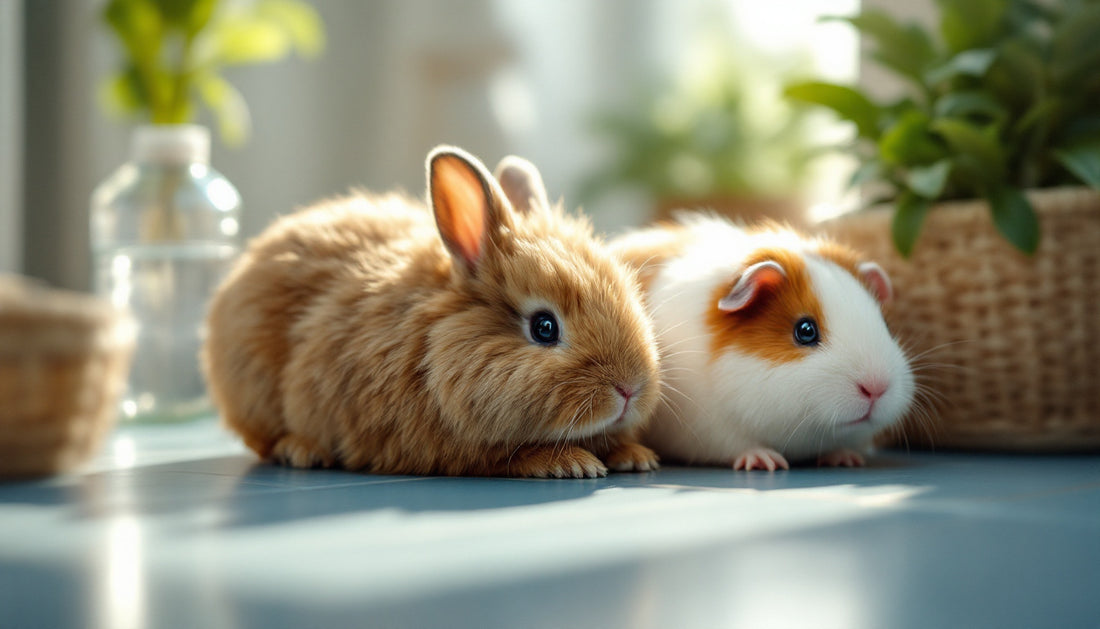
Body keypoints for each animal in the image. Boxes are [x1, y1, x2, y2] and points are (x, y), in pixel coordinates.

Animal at [202, 146, 661, 478]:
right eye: (544, 327)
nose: (630, 389)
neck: (432, 344)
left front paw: (636, 456)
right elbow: (505, 456)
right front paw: (571, 463)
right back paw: (302, 450)